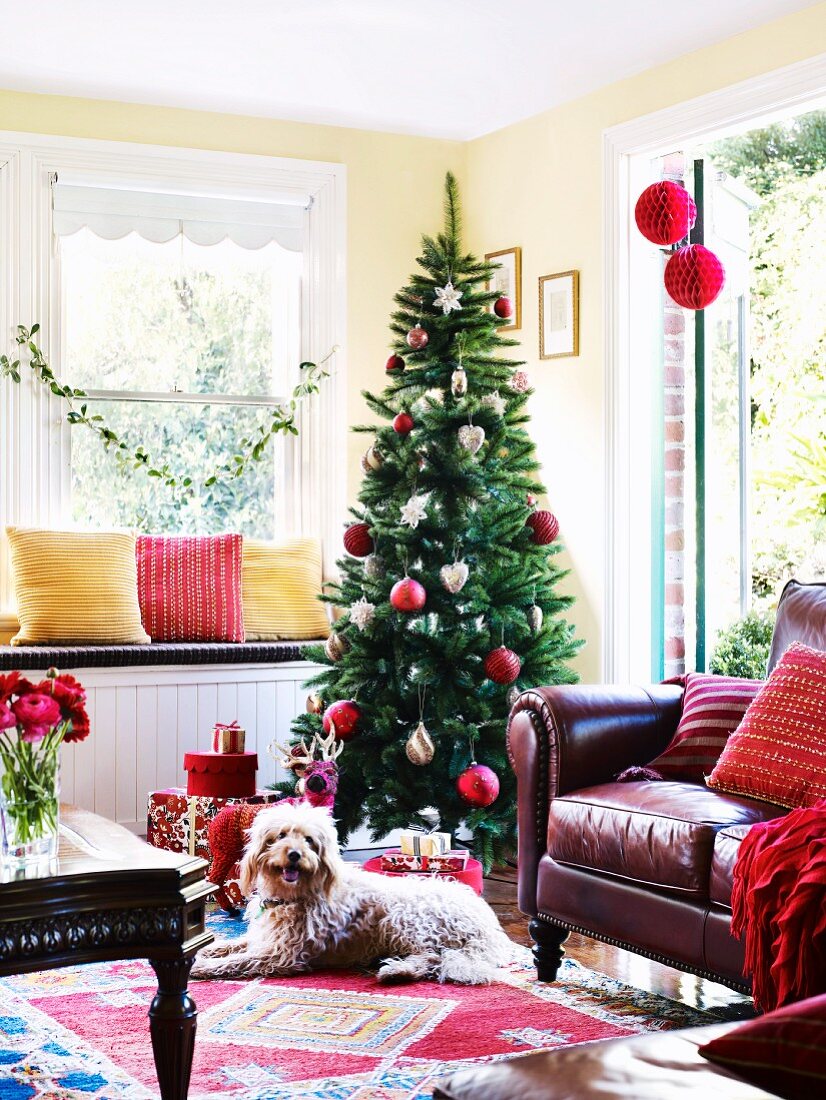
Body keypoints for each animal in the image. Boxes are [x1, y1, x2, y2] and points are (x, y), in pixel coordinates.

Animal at [193, 796, 516, 985]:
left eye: (309, 840)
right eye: (281, 835)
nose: (295, 855)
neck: (293, 895)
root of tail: (490, 929)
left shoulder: (281, 954)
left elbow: (239, 960)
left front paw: (203, 966)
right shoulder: (267, 938)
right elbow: (236, 944)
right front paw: (209, 950)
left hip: (406, 919)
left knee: (433, 958)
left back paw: (395, 972)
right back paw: (394, 970)